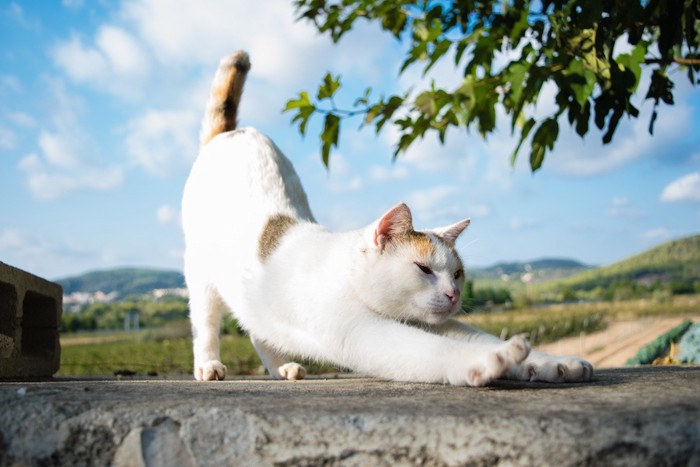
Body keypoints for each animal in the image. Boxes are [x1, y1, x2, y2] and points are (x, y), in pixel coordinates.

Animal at [180, 51, 592, 388]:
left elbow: (478, 337)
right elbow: (434, 351)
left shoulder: (438, 323)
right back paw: (209, 366)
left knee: (256, 328)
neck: (350, 278)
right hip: (201, 280)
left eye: (458, 274)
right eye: (423, 269)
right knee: (206, 326)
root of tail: (230, 133)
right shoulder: (364, 333)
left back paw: (282, 368)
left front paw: (553, 363)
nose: (454, 294)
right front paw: (493, 360)